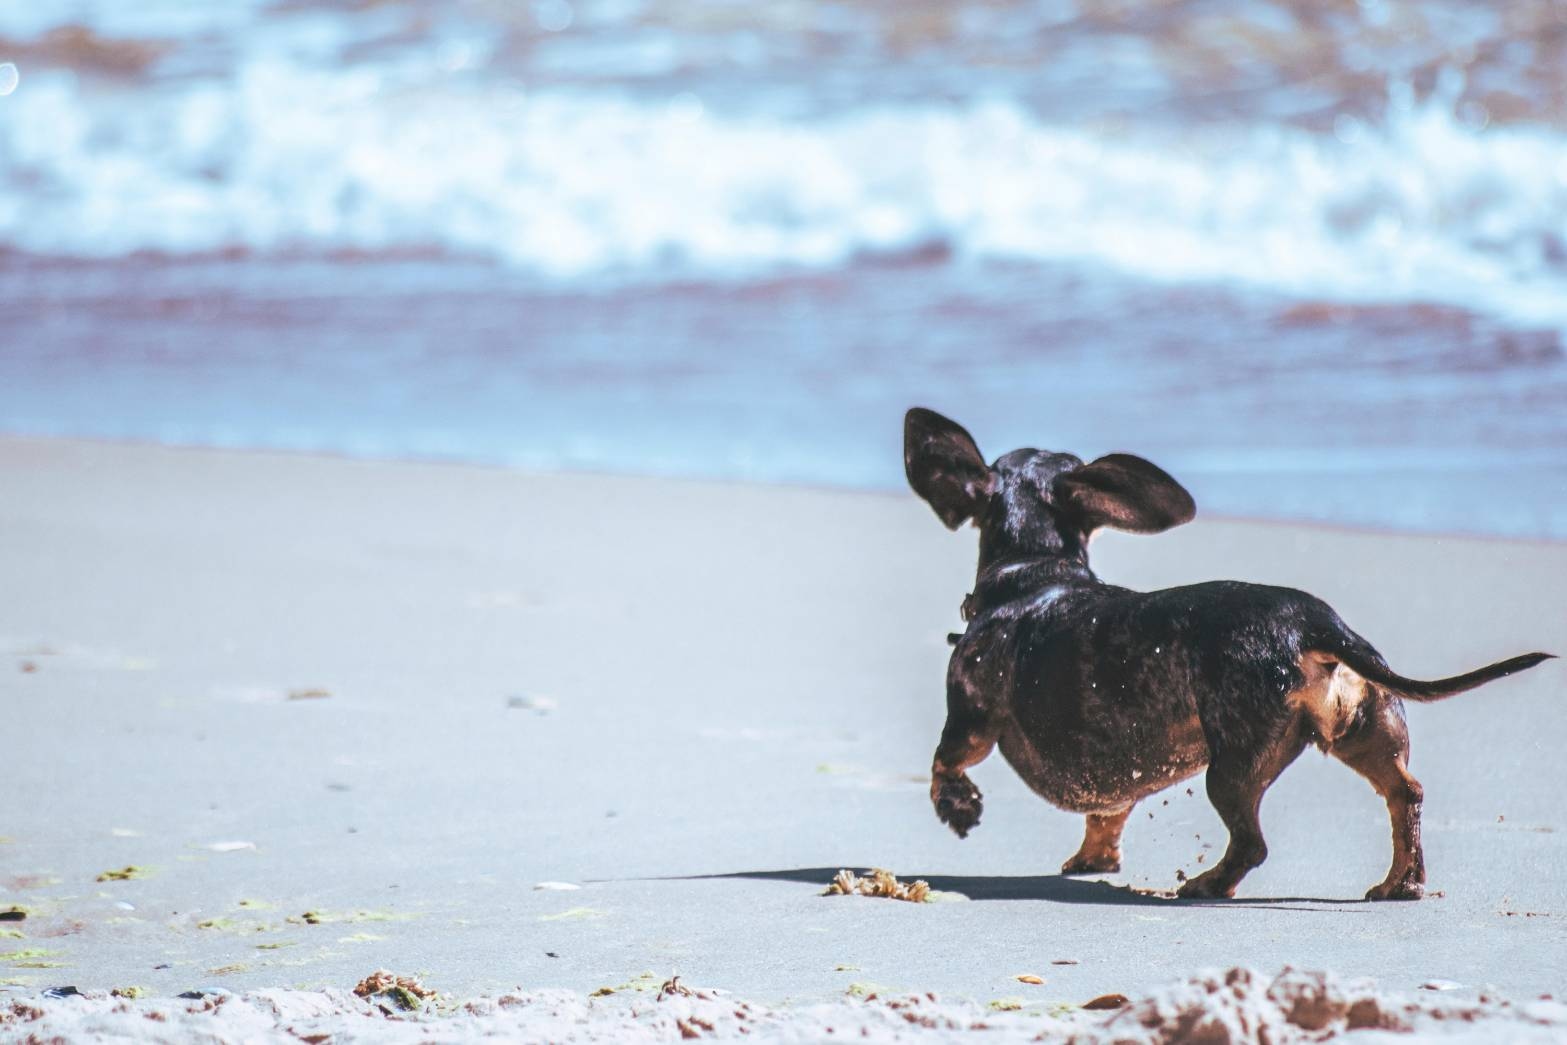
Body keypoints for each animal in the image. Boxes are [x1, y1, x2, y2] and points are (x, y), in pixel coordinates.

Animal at [908, 407, 1554, 902]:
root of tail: (1313, 623)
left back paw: (1207, 884)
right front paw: (1094, 858)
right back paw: (1402, 882)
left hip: (1231, 765)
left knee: (1251, 843)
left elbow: (945, 761)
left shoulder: (969, 717)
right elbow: (1108, 813)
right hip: (1365, 730)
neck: (1035, 573)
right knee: (1406, 794)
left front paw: (957, 807)